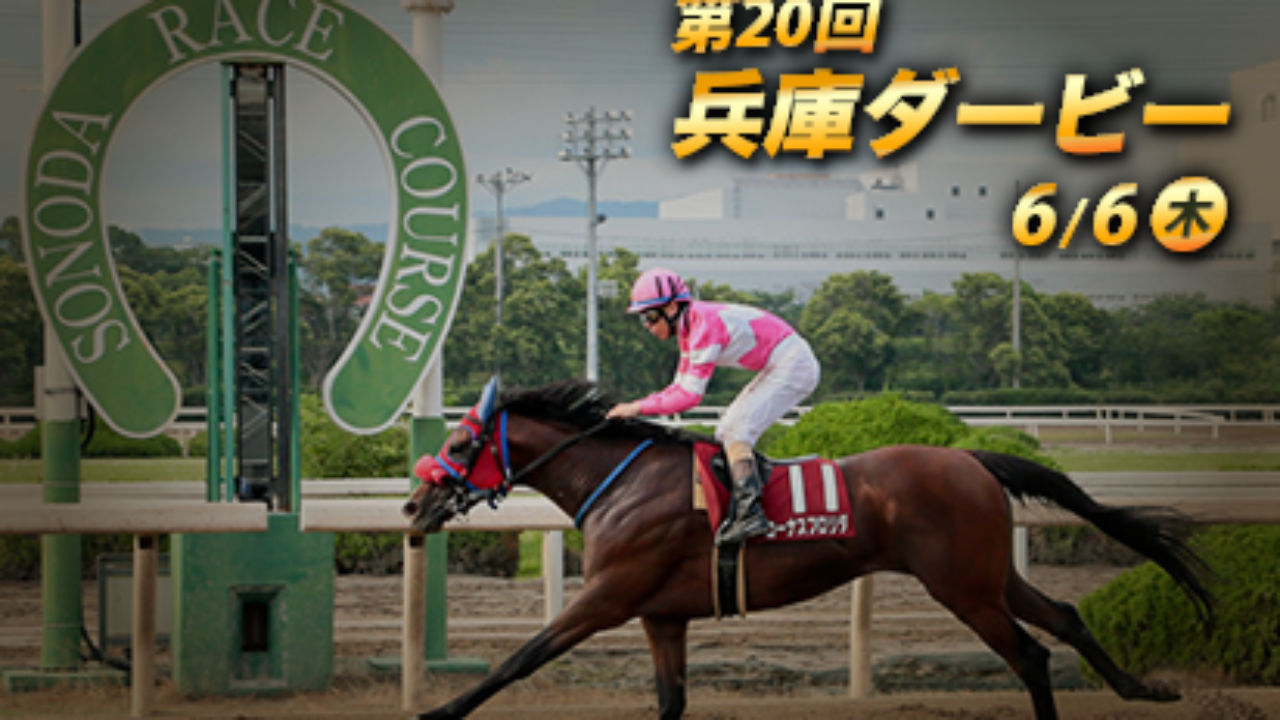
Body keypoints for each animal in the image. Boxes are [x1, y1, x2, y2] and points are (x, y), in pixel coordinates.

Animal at [402, 379, 1214, 720]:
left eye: (459, 444)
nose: (412, 505)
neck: (621, 480)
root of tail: (973, 458)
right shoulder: (662, 615)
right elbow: (670, 701)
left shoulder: (608, 597)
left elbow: (517, 660)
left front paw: (437, 713)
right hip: (985, 576)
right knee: (1066, 617)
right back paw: (1142, 689)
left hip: (961, 588)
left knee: (1032, 656)